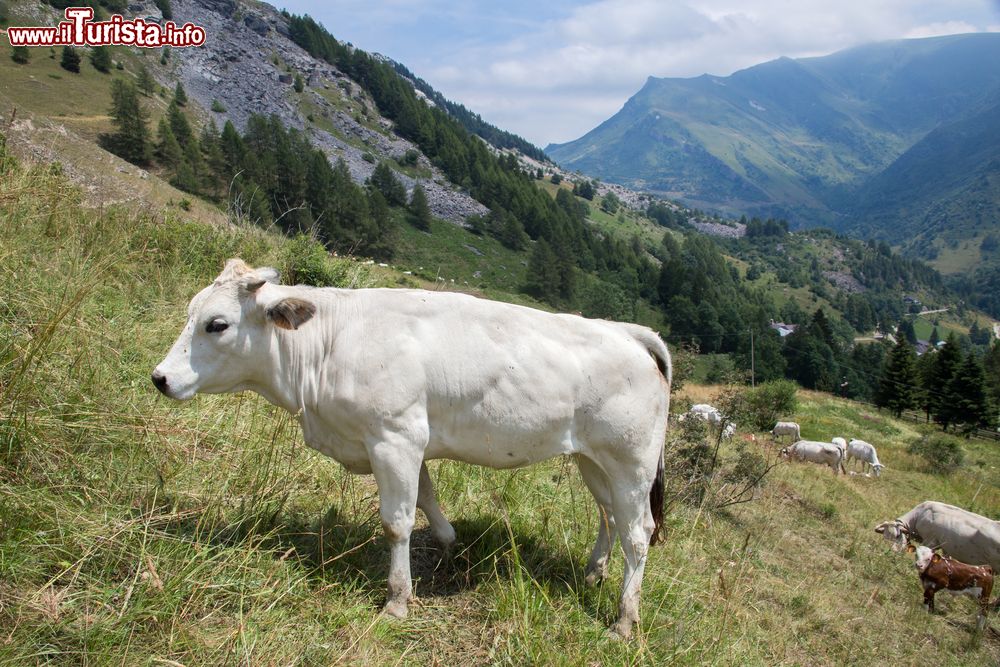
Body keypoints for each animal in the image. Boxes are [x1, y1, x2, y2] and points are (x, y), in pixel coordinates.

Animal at [152, 258, 672, 640]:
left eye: (217, 324)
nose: (160, 378)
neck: (327, 346)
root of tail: (627, 331)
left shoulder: (393, 437)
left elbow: (396, 521)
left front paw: (397, 600)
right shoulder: (408, 440)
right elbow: (427, 498)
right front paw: (447, 542)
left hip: (632, 462)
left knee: (639, 533)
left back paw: (624, 620)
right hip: (592, 459)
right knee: (610, 516)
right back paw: (593, 572)